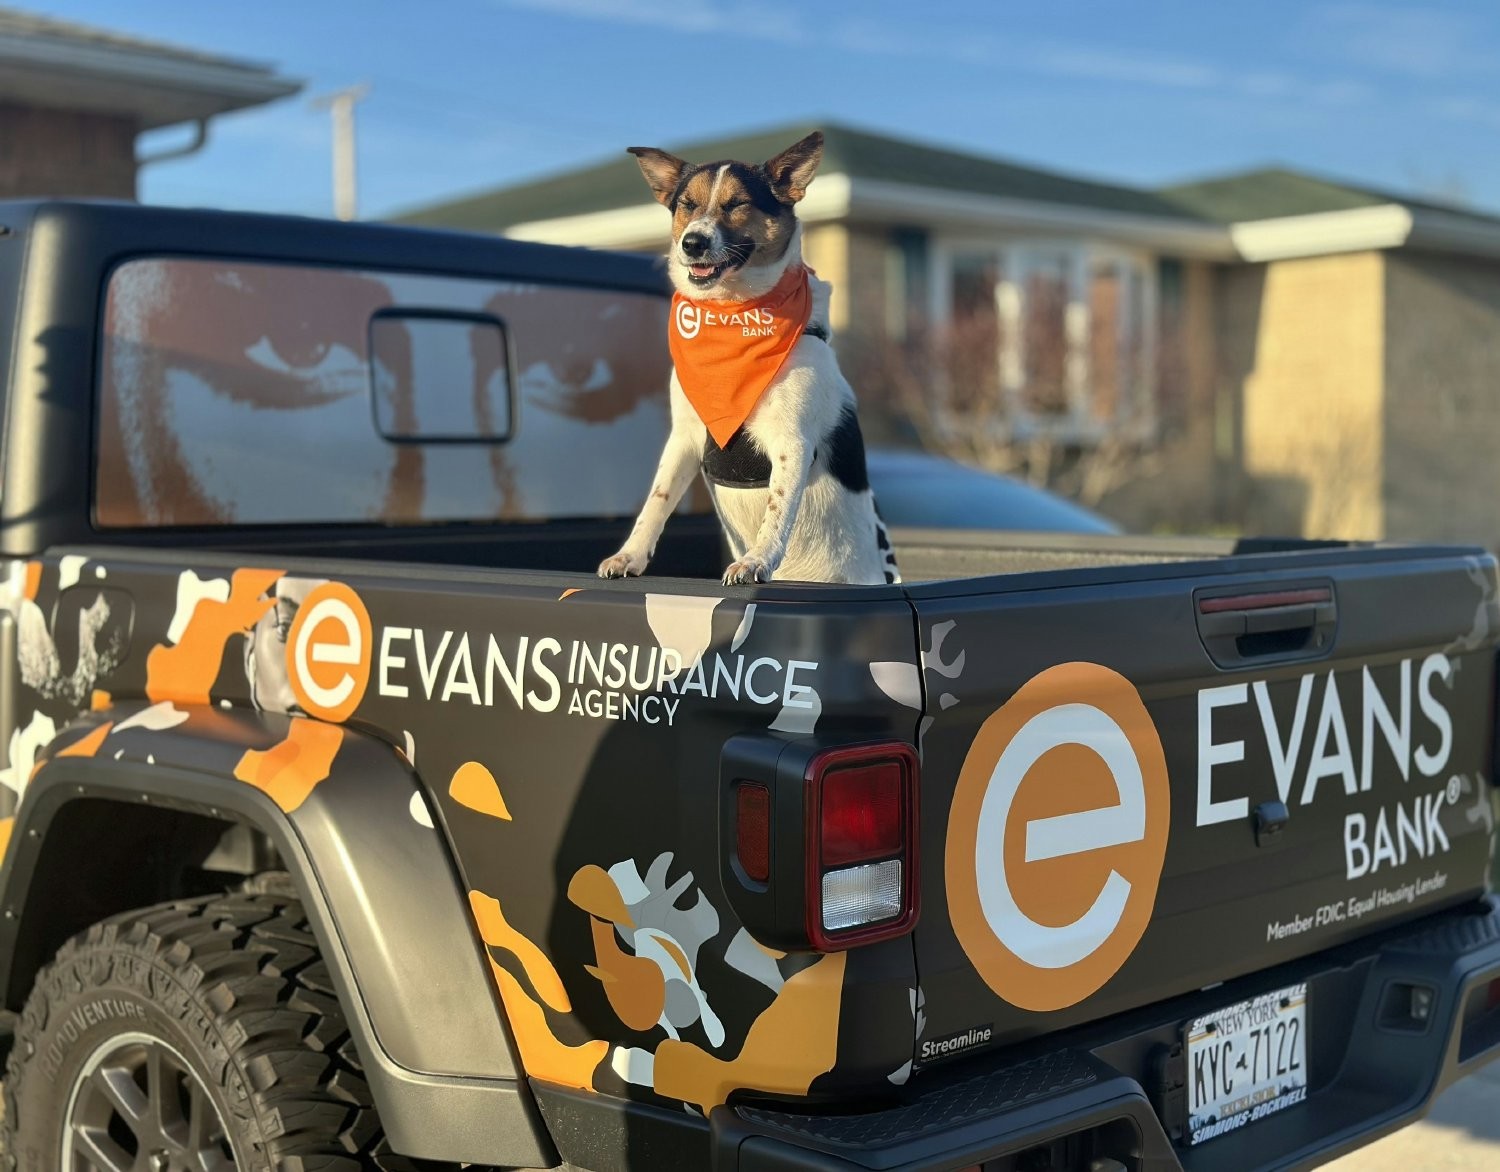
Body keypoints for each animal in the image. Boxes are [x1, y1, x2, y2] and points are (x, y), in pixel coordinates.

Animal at [597, 131, 900, 585]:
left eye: (737, 203)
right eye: (687, 204)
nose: (693, 243)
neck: (732, 311)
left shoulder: (791, 443)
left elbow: (777, 510)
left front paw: (757, 560)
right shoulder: (684, 438)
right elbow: (657, 501)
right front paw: (629, 555)